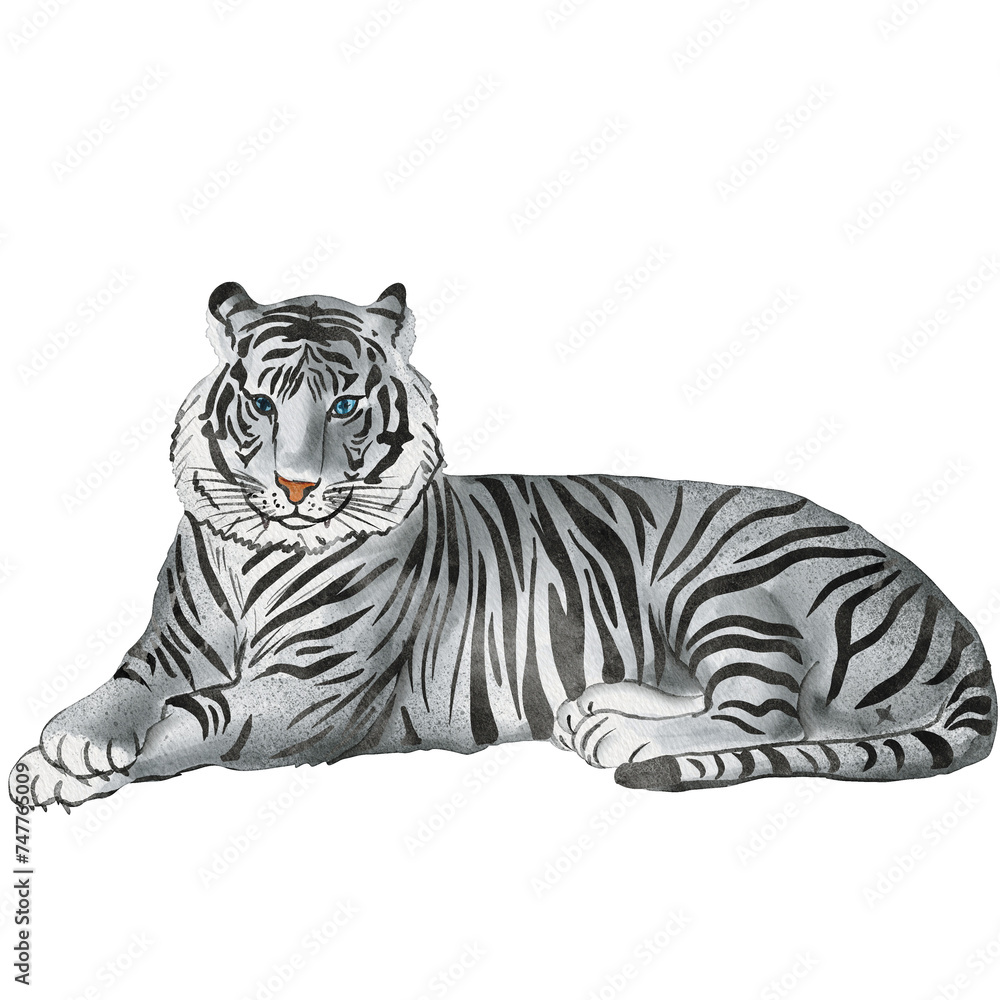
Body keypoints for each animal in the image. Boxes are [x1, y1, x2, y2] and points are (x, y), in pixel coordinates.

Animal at [9, 281, 995, 811]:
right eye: (260, 404)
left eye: (344, 405)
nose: (295, 490)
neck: (256, 551)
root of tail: (952, 619)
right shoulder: (168, 645)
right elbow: (126, 685)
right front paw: (73, 737)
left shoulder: (310, 689)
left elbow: (198, 716)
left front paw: (54, 772)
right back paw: (597, 710)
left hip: (723, 577)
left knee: (771, 715)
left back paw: (623, 739)